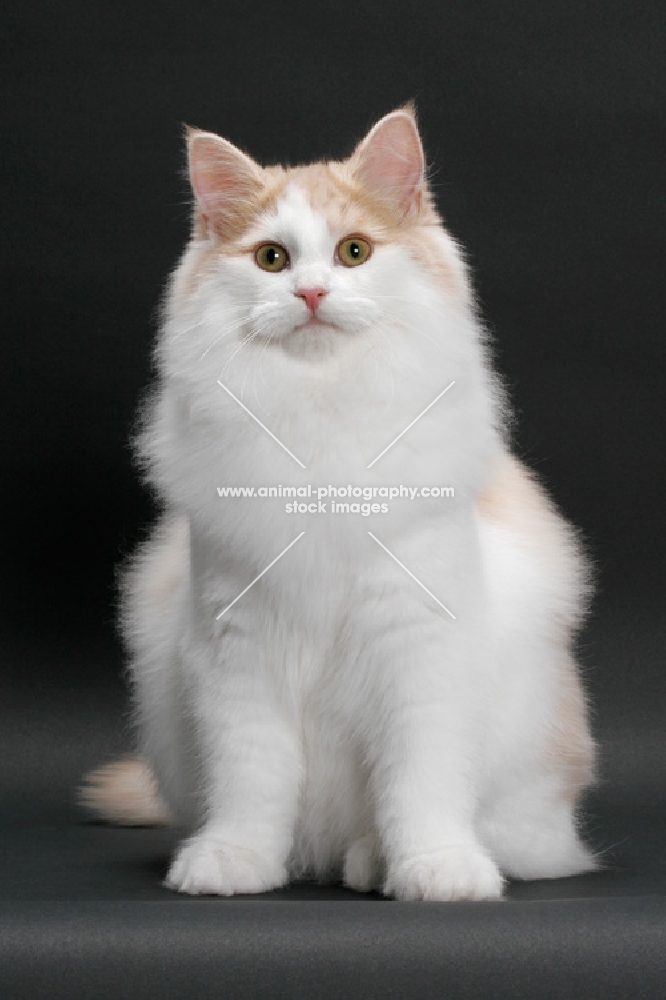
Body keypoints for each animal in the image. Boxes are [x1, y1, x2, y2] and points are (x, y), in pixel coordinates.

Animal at [80, 107, 592, 900]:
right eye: (271, 260)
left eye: (354, 253)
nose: (313, 294)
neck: (319, 418)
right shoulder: (238, 646)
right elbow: (250, 781)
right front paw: (235, 859)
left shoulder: (420, 643)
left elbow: (421, 783)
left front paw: (436, 868)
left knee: (507, 835)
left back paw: (371, 860)